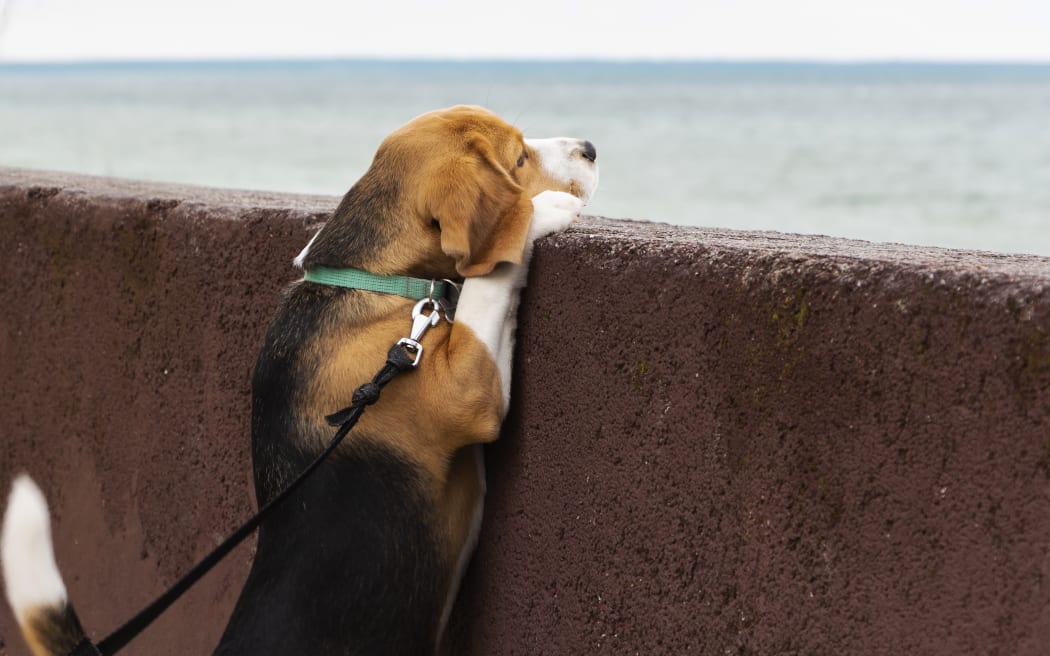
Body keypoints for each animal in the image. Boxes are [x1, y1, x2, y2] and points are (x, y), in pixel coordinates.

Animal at [0, 104, 600, 650]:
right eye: (518, 158)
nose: (590, 147)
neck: (369, 278)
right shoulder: (465, 391)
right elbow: (489, 283)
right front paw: (540, 209)